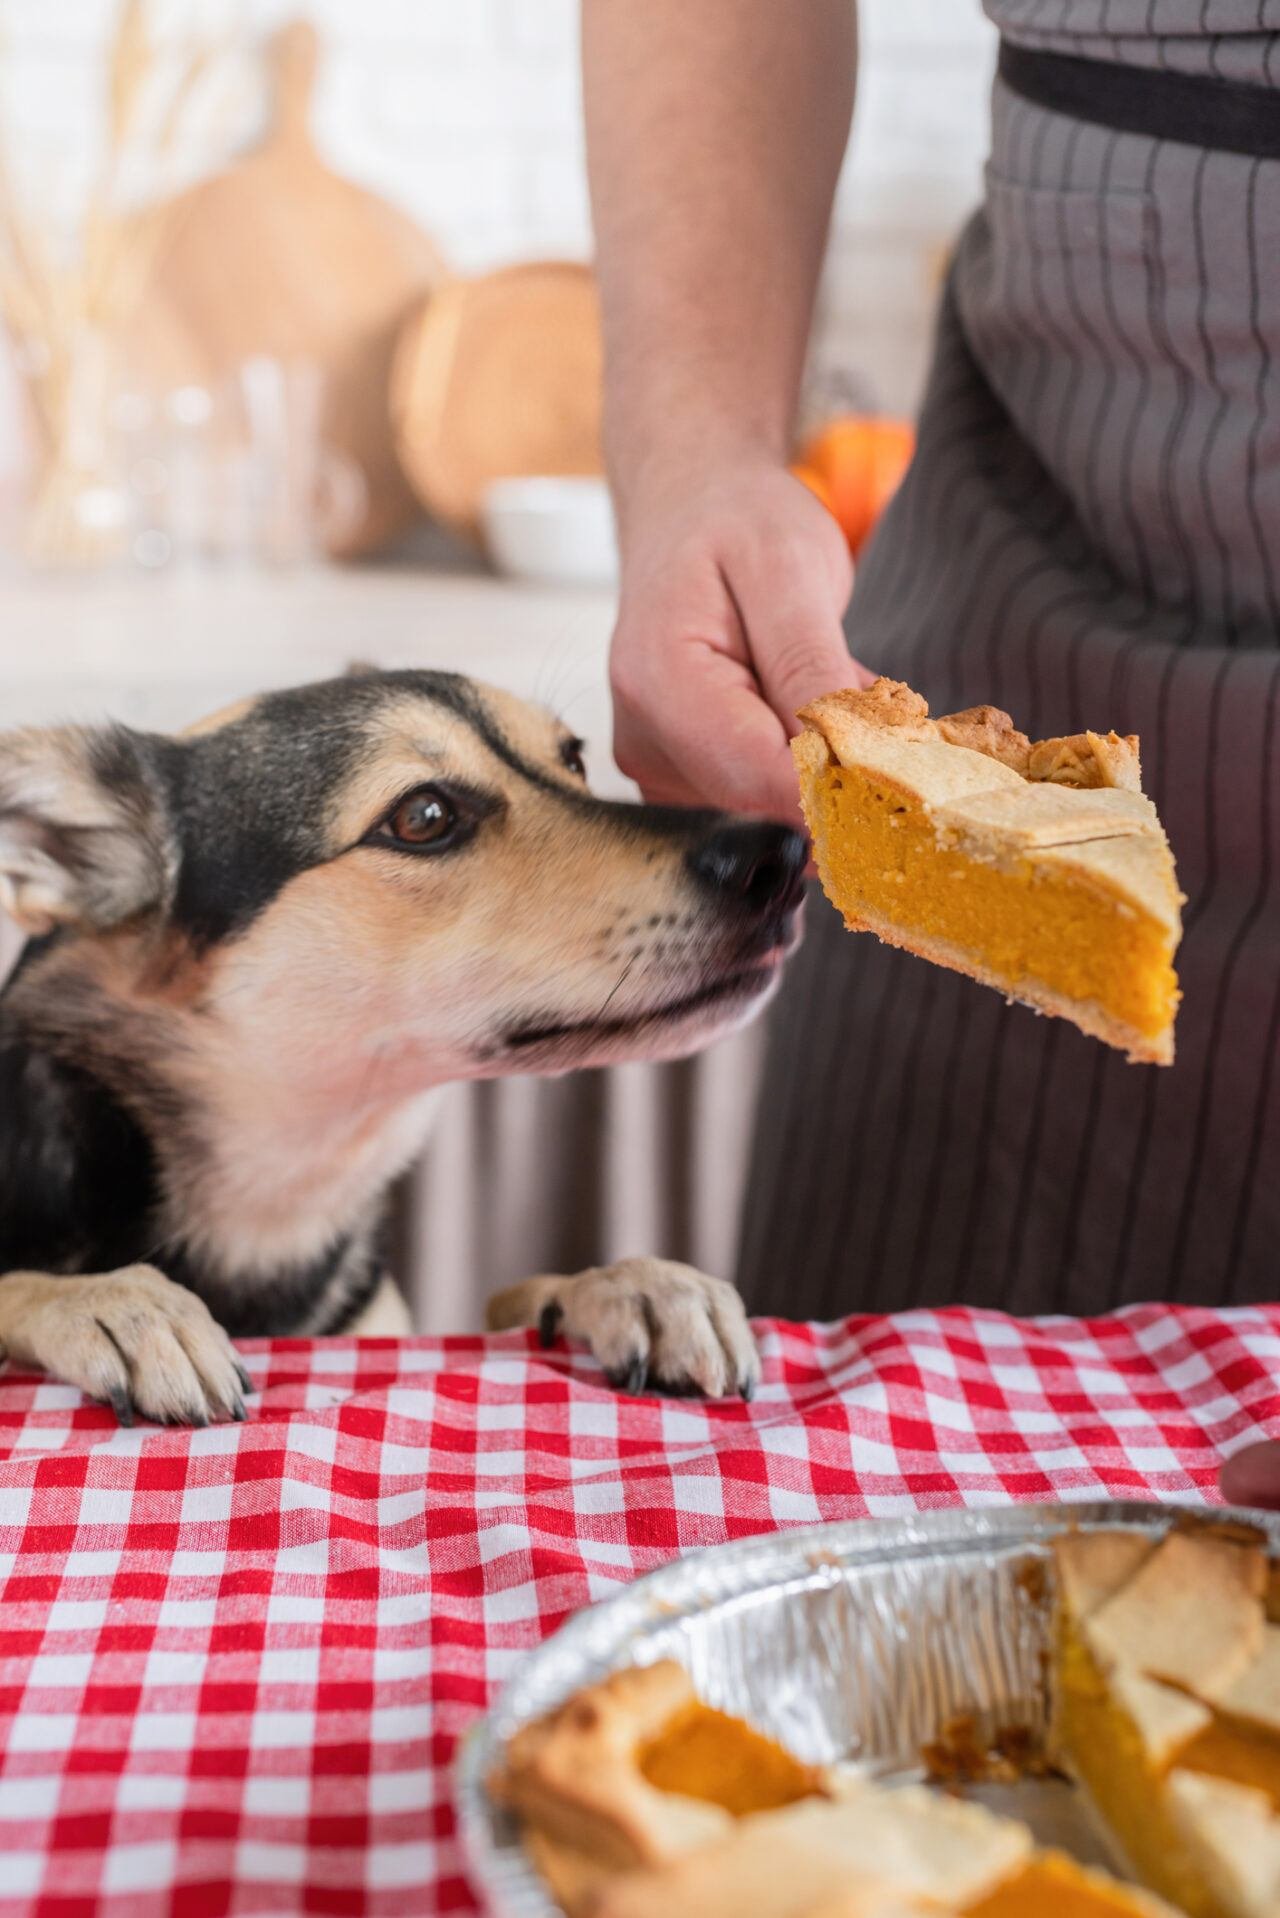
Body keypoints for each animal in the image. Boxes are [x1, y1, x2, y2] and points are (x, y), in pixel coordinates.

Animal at [0, 675, 802, 1426]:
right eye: (423, 817)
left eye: (575, 758)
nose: (786, 857)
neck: (285, 1196)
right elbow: (18, 1287)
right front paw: (115, 1303)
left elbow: (511, 1300)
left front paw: (639, 1285)